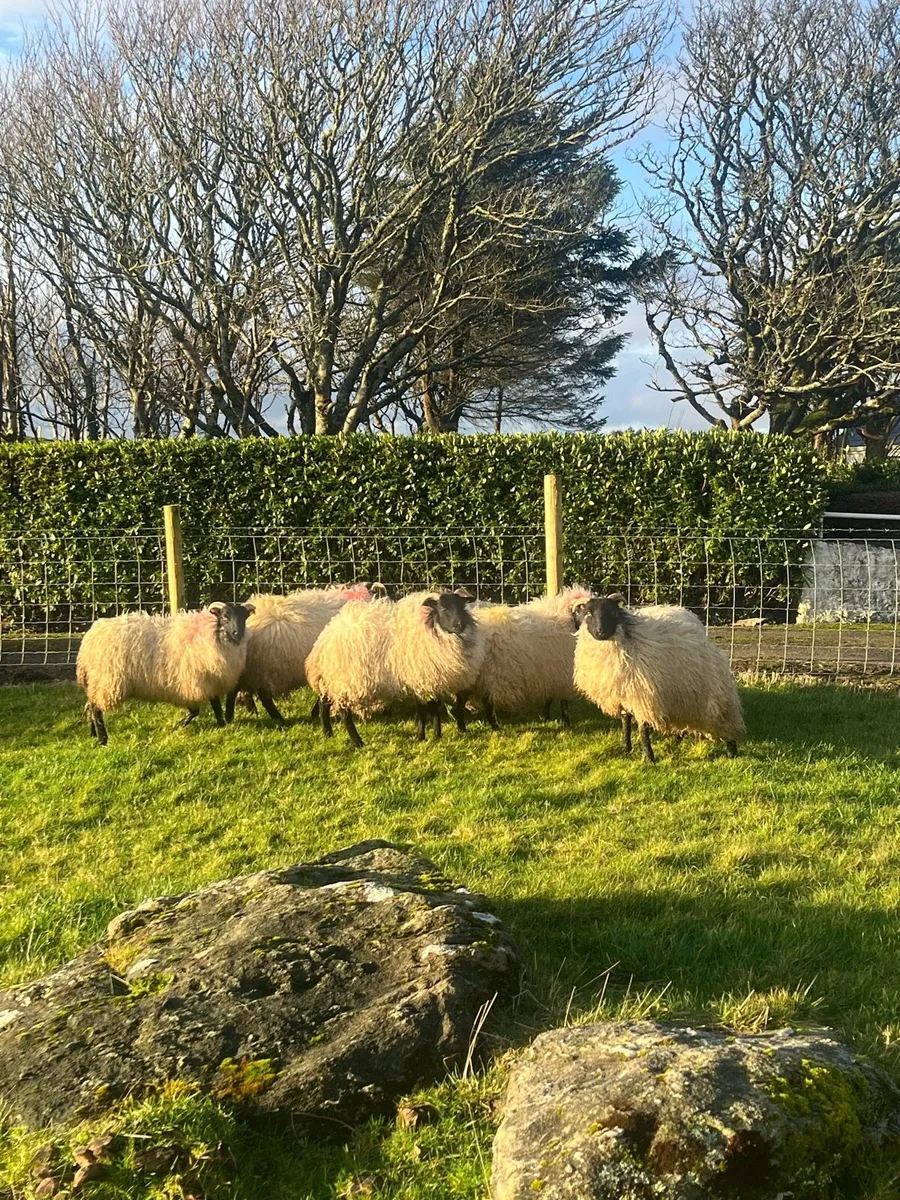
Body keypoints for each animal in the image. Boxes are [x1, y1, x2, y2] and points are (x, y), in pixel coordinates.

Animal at [76, 601, 255, 745]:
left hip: (98, 681)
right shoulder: (194, 680)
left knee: (90, 705)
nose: (237, 632)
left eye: (244, 617)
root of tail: (88, 641)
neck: (213, 635)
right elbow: (198, 710)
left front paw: (221, 725)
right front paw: (179, 725)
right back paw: (102, 739)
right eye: (224, 617)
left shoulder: (206, 681)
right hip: (108, 682)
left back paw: (93, 734)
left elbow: (214, 706)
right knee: (95, 708)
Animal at [305, 589, 485, 747]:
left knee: (323, 704)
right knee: (344, 713)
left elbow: (435, 709)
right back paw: (358, 742)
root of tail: (324, 640)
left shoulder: (433, 679)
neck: (432, 629)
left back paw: (328, 733)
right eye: (443, 608)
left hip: (331, 680)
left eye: (462, 607)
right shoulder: (417, 678)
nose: (459, 624)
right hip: (347, 681)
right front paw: (421, 737)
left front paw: (437, 734)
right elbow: (422, 711)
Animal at [464, 586, 593, 729]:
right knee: (487, 701)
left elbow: (549, 698)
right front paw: (565, 722)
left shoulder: (550, 672)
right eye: (585, 610)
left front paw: (545, 717)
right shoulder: (562, 673)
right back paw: (494, 725)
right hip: (492, 672)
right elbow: (563, 702)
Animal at [573, 594, 745, 762]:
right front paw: (626, 749)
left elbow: (643, 728)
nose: (600, 632)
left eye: (612, 612)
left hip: (714, 695)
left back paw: (732, 752)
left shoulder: (643, 696)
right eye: (588, 613)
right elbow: (625, 721)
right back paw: (677, 739)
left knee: (725, 722)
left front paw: (649, 758)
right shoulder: (623, 695)